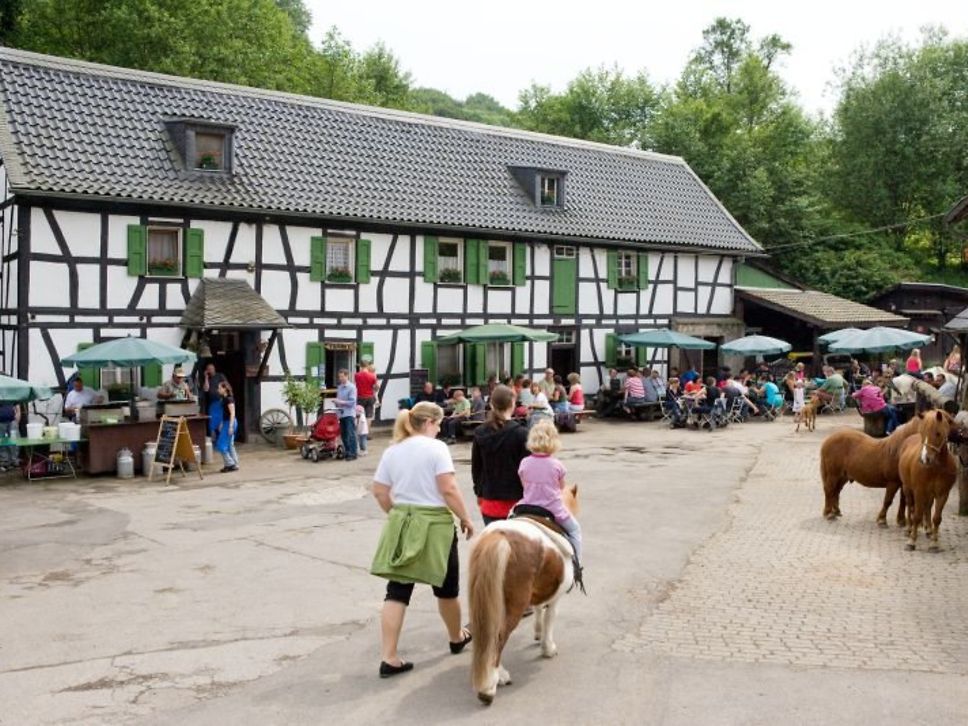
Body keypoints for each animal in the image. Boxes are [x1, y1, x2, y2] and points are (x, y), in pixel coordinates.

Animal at [470, 484, 580, 704]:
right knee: (498, 637)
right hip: (513, 607)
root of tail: (500, 536)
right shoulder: (555, 599)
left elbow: (538, 609)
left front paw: (537, 633)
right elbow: (549, 619)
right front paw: (548, 648)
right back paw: (492, 684)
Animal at [896, 412, 956, 556]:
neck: (936, 468)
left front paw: (934, 544)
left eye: (938, 433)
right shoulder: (919, 491)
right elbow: (917, 516)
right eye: (922, 433)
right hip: (907, 489)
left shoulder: (943, 494)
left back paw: (929, 531)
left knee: (927, 507)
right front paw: (911, 542)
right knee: (910, 506)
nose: (925, 459)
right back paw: (909, 529)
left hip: (930, 494)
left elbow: (937, 518)